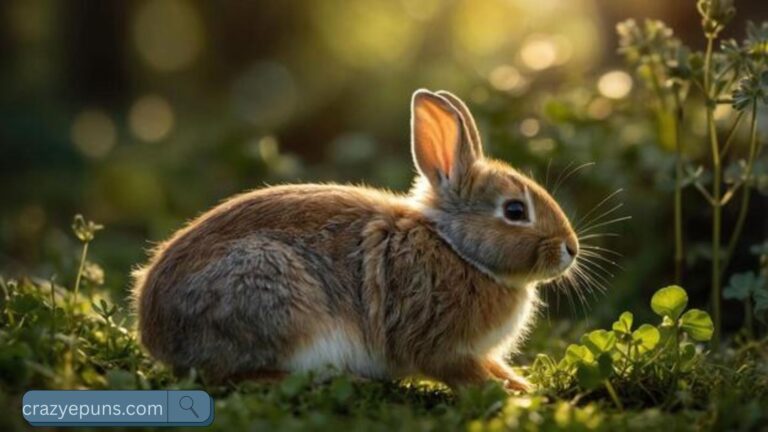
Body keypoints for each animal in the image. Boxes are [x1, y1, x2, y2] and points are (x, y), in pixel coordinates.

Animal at [131, 89, 579, 392]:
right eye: (515, 211)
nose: (571, 250)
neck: (457, 249)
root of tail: (155, 331)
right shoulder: (437, 342)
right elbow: (461, 373)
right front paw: (509, 395)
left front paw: (523, 386)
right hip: (270, 295)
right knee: (230, 375)